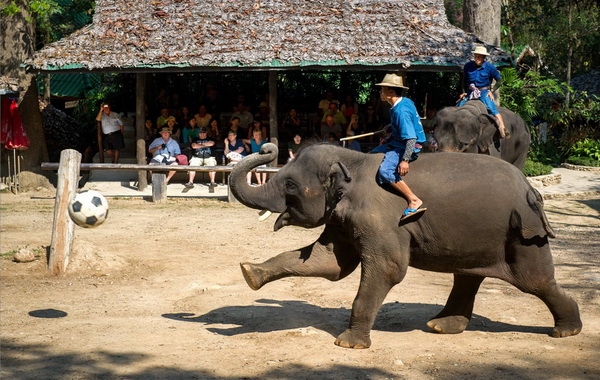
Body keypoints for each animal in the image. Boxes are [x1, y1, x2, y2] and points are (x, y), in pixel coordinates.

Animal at [230, 142, 580, 348]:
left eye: (290, 184)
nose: (268, 146)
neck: (353, 160)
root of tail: (531, 188)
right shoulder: (342, 218)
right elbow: (329, 263)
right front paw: (250, 273)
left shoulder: (381, 219)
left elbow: (388, 268)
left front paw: (348, 344)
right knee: (468, 276)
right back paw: (441, 326)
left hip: (523, 236)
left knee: (535, 280)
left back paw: (566, 331)